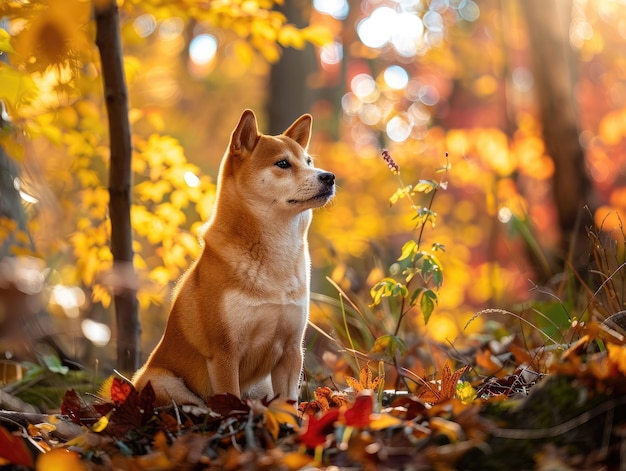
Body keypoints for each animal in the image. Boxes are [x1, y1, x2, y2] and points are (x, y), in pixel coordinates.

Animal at [132, 109, 334, 408]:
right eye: (283, 163)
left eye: (309, 162)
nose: (329, 177)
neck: (276, 259)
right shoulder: (225, 353)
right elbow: (231, 402)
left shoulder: (291, 350)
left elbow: (289, 405)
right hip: (158, 379)